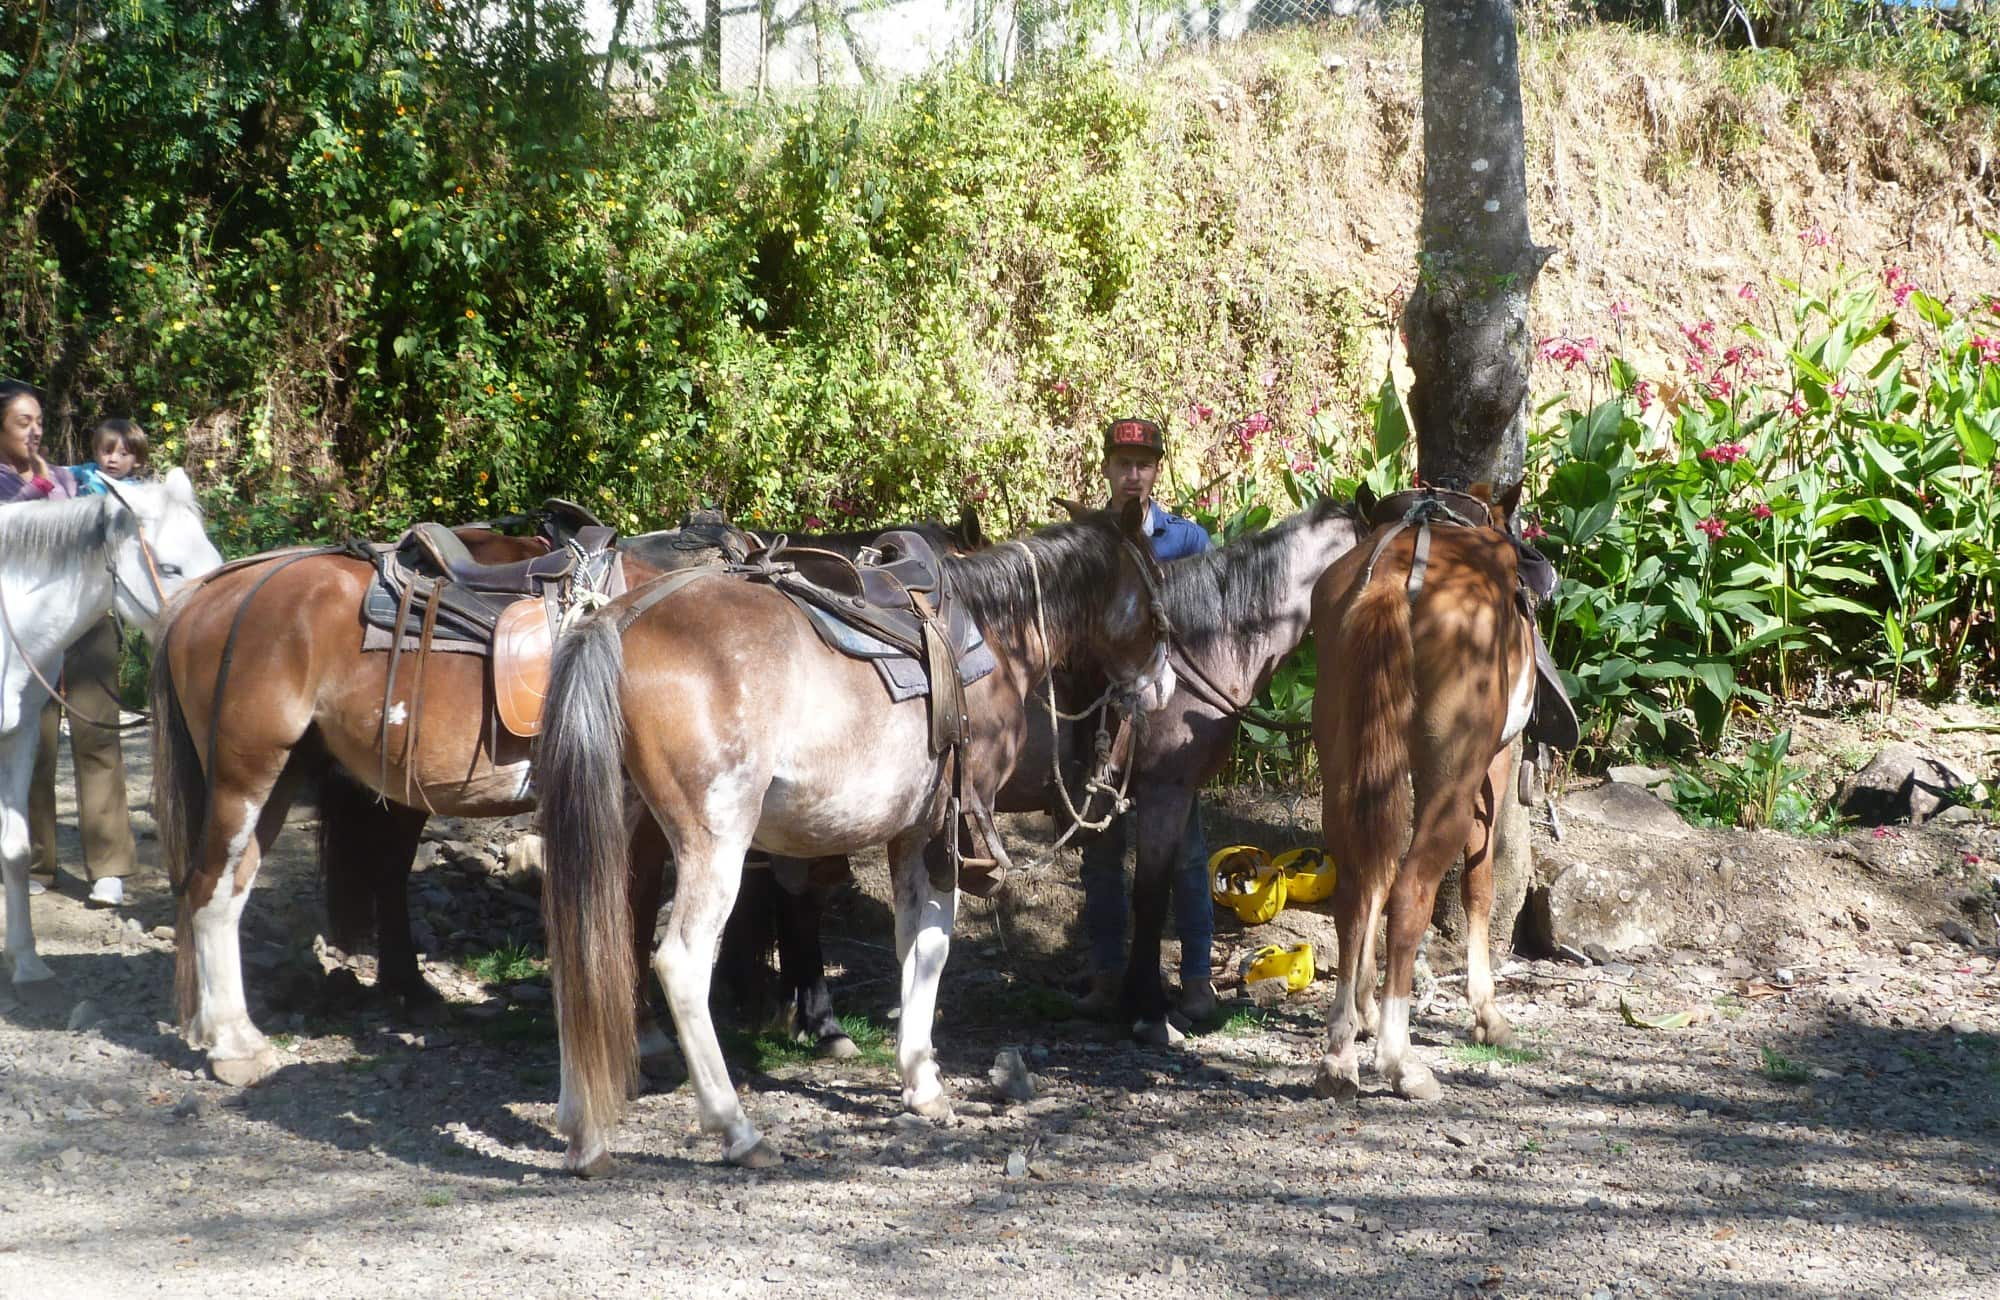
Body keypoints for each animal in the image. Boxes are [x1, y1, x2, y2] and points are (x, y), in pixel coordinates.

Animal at [540, 502, 1176, 1168]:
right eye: (1156, 582)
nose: (1165, 687)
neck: (994, 633)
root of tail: (615, 622)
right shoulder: (947, 829)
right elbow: (934, 947)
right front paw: (925, 1083)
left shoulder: (909, 832)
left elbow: (910, 944)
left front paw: (916, 1074)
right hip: (714, 843)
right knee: (682, 963)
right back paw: (736, 1129)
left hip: (615, 831)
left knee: (582, 944)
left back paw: (582, 1130)